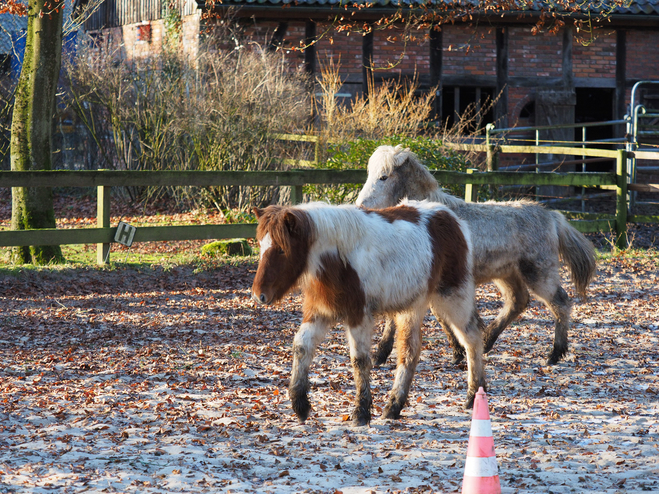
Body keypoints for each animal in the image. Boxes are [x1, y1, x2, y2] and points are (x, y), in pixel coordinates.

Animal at [253, 201, 484, 424]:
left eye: (282, 249)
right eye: (260, 245)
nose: (259, 295)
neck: (338, 257)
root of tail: (452, 218)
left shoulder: (358, 315)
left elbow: (359, 360)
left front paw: (361, 413)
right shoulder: (320, 312)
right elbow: (301, 346)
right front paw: (300, 405)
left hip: (452, 297)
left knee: (471, 338)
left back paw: (474, 395)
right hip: (412, 307)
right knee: (410, 351)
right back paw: (393, 407)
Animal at [356, 145, 600, 364]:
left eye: (384, 177)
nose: (360, 205)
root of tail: (551, 217)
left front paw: (380, 354)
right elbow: (438, 316)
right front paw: (457, 351)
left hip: (539, 273)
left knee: (560, 302)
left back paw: (555, 354)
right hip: (507, 274)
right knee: (517, 301)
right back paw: (488, 340)